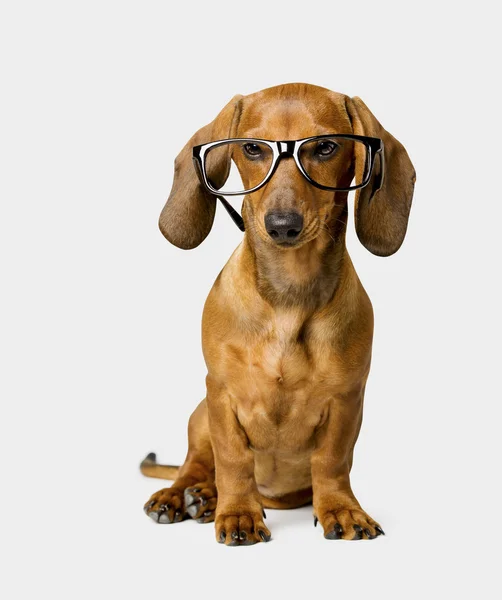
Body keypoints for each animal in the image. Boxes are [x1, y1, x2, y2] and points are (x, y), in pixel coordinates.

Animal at [141, 82, 416, 548]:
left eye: (325, 147)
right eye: (253, 148)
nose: (282, 225)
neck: (290, 294)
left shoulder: (347, 400)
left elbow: (332, 461)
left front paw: (341, 508)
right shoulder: (221, 394)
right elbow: (233, 459)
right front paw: (238, 513)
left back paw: (207, 500)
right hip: (200, 416)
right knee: (195, 466)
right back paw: (187, 496)